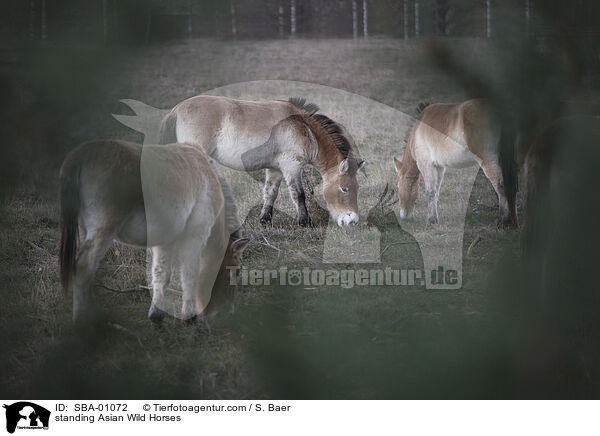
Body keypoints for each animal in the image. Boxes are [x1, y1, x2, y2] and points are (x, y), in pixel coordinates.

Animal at [59, 140, 248, 324]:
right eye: (237, 271)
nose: (229, 312)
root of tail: (81, 154)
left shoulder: (165, 243)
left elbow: (161, 275)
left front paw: (156, 314)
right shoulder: (194, 237)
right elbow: (190, 274)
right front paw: (190, 316)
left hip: (83, 230)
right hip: (103, 231)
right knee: (84, 268)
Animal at [159, 95, 366, 227]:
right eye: (344, 188)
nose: (352, 220)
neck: (304, 127)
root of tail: (176, 110)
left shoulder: (275, 170)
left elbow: (270, 194)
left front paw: (265, 221)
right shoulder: (291, 166)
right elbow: (299, 194)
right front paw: (305, 222)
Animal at [394, 99, 516, 228]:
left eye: (398, 186)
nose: (404, 217)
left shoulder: (426, 165)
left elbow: (430, 192)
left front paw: (430, 220)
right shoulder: (439, 167)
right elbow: (436, 192)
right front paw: (434, 219)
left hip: (487, 160)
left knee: (500, 185)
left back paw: (503, 220)